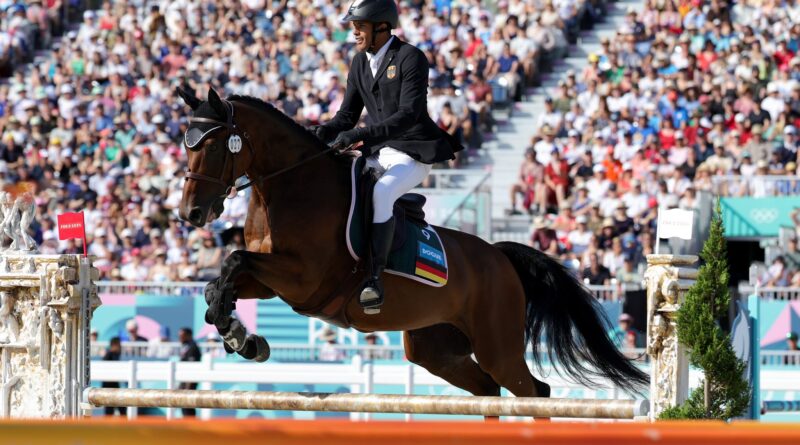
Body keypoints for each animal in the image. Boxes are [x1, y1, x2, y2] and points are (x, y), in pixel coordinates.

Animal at [175, 87, 648, 402]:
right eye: (186, 144)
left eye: (213, 146)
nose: (191, 214)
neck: (291, 186)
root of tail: (500, 257)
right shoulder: (272, 278)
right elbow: (223, 279)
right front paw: (238, 333)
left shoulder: (301, 279)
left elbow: (234, 259)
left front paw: (238, 334)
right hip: (437, 351)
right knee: (489, 389)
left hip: (497, 345)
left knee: (534, 390)